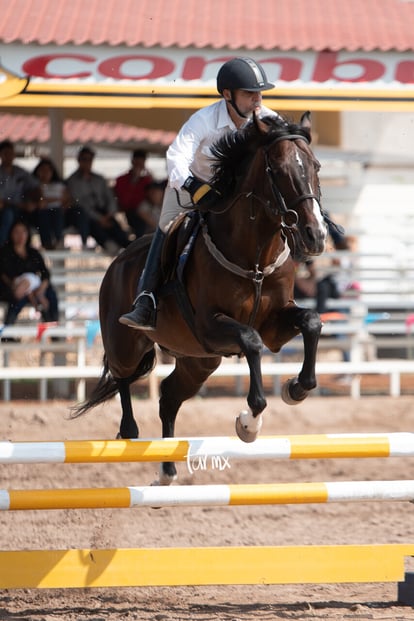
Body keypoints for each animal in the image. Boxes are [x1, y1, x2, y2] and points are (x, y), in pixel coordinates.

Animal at [73, 111, 328, 484]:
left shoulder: (275, 325)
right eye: (278, 170)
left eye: (316, 166)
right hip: (127, 344)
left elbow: (310, 321)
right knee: (122, 376)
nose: (315, 236)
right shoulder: (211, 325)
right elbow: (251, 341)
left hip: (200, 361)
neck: (255, 256)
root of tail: (116, 262)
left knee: (168, 398)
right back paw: (130, 431)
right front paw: (249, 423)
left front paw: (295, 389)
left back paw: (167, 471)